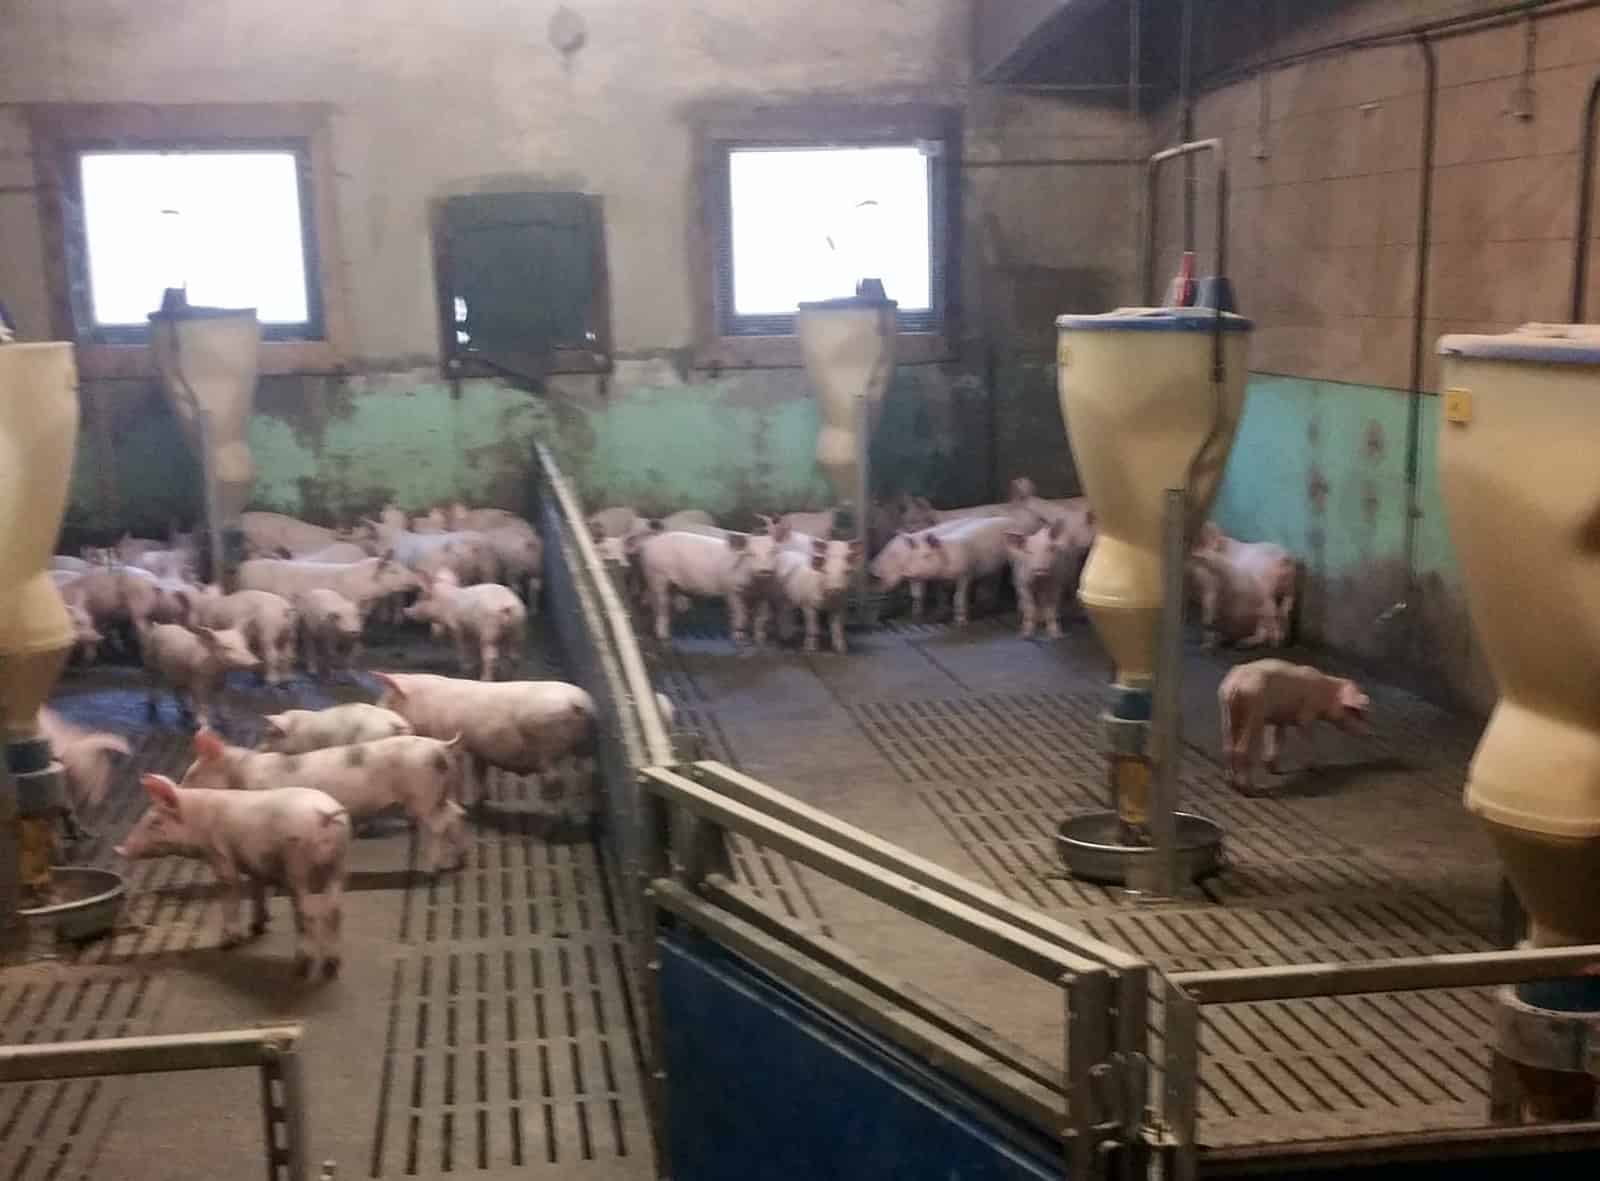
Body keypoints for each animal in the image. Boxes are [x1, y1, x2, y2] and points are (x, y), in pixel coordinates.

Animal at [116, 773, 351, 977]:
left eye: (155, 822)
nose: (119, 849)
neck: (197, 821)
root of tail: (323, 814)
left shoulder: (218, 853)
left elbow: (229, 889)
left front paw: (228, 942)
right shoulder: (255, 864)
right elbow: (256, 889)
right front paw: (257, 927)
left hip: (298, 866)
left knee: (306, 912)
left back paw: (302, 967)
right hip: (338, 864)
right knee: (335, 909)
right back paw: (332, 966)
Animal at [180, 729, 469, 874]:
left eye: (192, 773)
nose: (179, 789)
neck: (241, 773)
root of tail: (441, 747)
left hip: (422, 794)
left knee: (438, 825)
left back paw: (430, 870)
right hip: (440, 794)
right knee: (456, 814)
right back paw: (458, 862)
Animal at [373, 672, 596, 804]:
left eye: (389, 699)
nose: (378, 708)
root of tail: (578, 703)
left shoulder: (451, 739)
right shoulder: (478, 749)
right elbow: (479, 772)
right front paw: (481, 800)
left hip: (548, 747)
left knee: (555, 779)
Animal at [635, 529, 781, 643]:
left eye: (773, 552)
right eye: (750, 554)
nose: (764, 570)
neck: (755, 586)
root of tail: (648, 543)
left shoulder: (766, 594)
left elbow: (761, 617)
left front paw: (760, 640)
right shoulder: (731, 590)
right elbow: (740, 614)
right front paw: (738, 638)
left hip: (669, 583)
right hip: (657, 576)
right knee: (661, 605)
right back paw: (664, 637)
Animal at [1218, 659, 1370, 794]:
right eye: (1356, 712)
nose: (1370, 733)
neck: (1327, 696)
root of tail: (1234, 687)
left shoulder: (1279, 718)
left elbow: (1277, 738)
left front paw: (1273, 768)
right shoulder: (1307, 714)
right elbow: (1308, 737)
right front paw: (1315, 768)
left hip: (1226, 712)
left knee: (1227, 748)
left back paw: (1229, 782)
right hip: (1254, 713)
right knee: (1241, 750)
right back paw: (1248, 788)